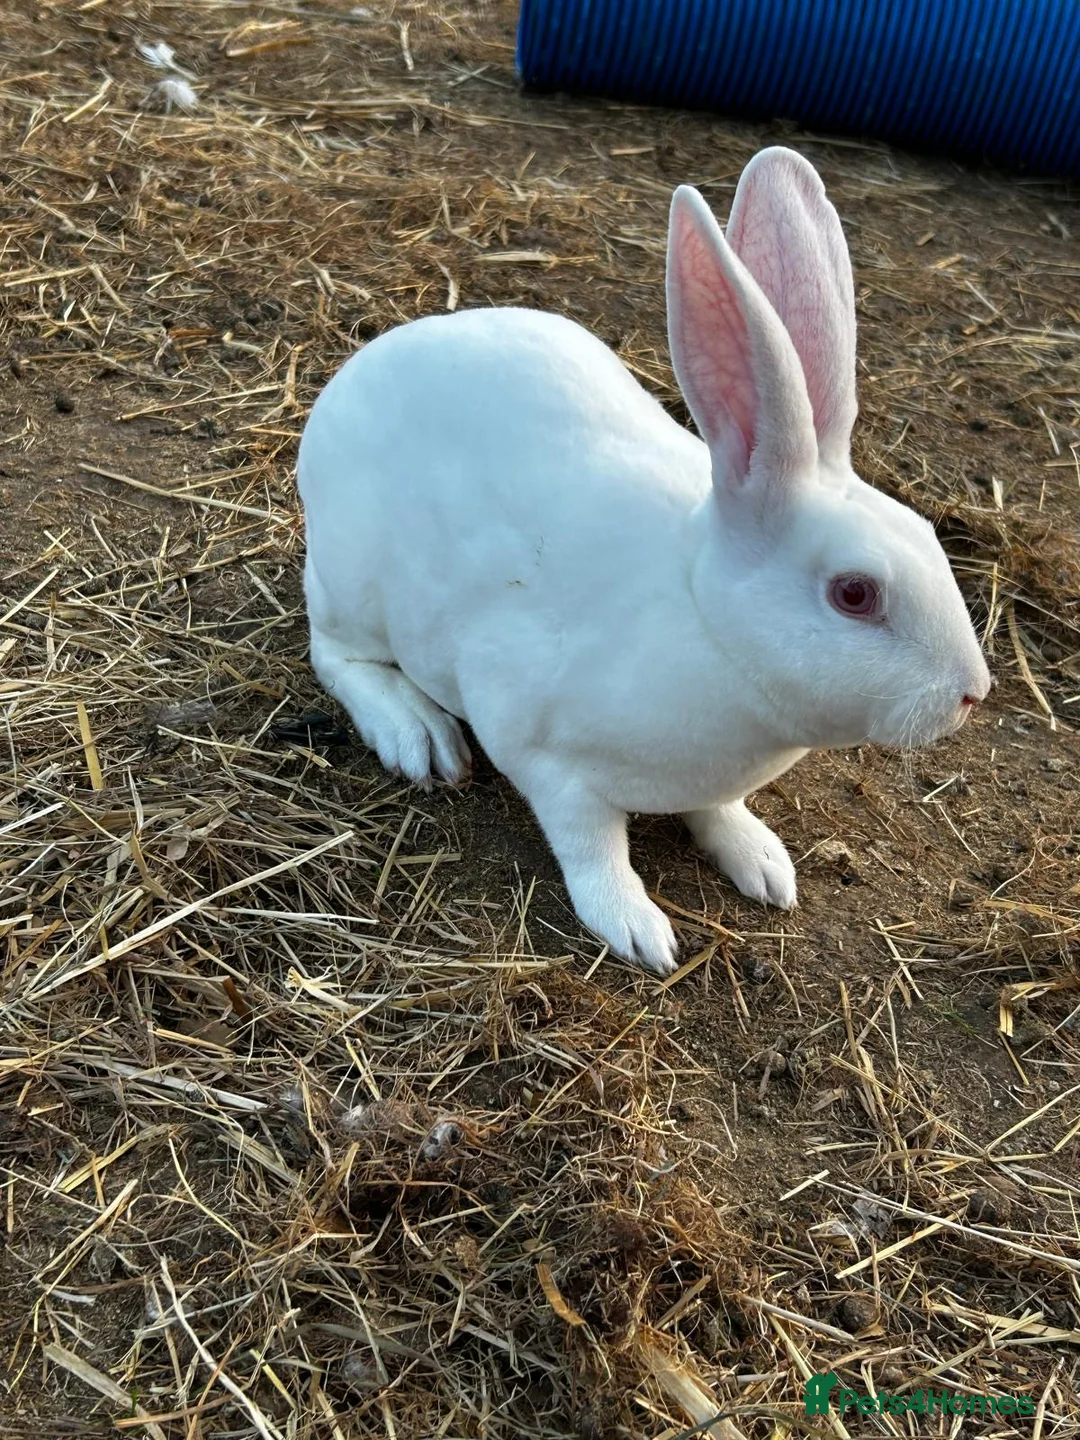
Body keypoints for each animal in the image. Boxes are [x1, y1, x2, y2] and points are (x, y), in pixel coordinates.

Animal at [297, 146, 990, 977]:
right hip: (355, 587)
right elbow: (592, 847)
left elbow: (719, 813)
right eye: (854, 594)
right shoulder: (544, 754)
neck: (703, 623)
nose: (972, 693)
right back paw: (416, 735)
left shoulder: (708, 782)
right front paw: (637, 930)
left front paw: (765, 865)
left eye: (930, 536)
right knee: (334, 654)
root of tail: (352, 378)